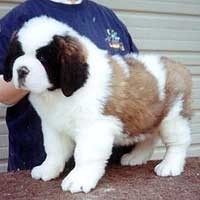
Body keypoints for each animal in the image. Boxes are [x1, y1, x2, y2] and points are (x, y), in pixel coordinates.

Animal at [3, 16, 191, 193]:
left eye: (42, 57)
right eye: (18, 54)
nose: (21, 70)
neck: (59, 93)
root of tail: (178, 65)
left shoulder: (94, 128)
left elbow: (85, 155)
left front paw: (78, 179)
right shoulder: (54, 126)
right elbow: (53, 150)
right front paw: (48, 169)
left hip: (174, 118)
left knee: (178, 143)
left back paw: (170, 165)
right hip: (147, 115)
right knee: (148, 138)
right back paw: (136, 157)